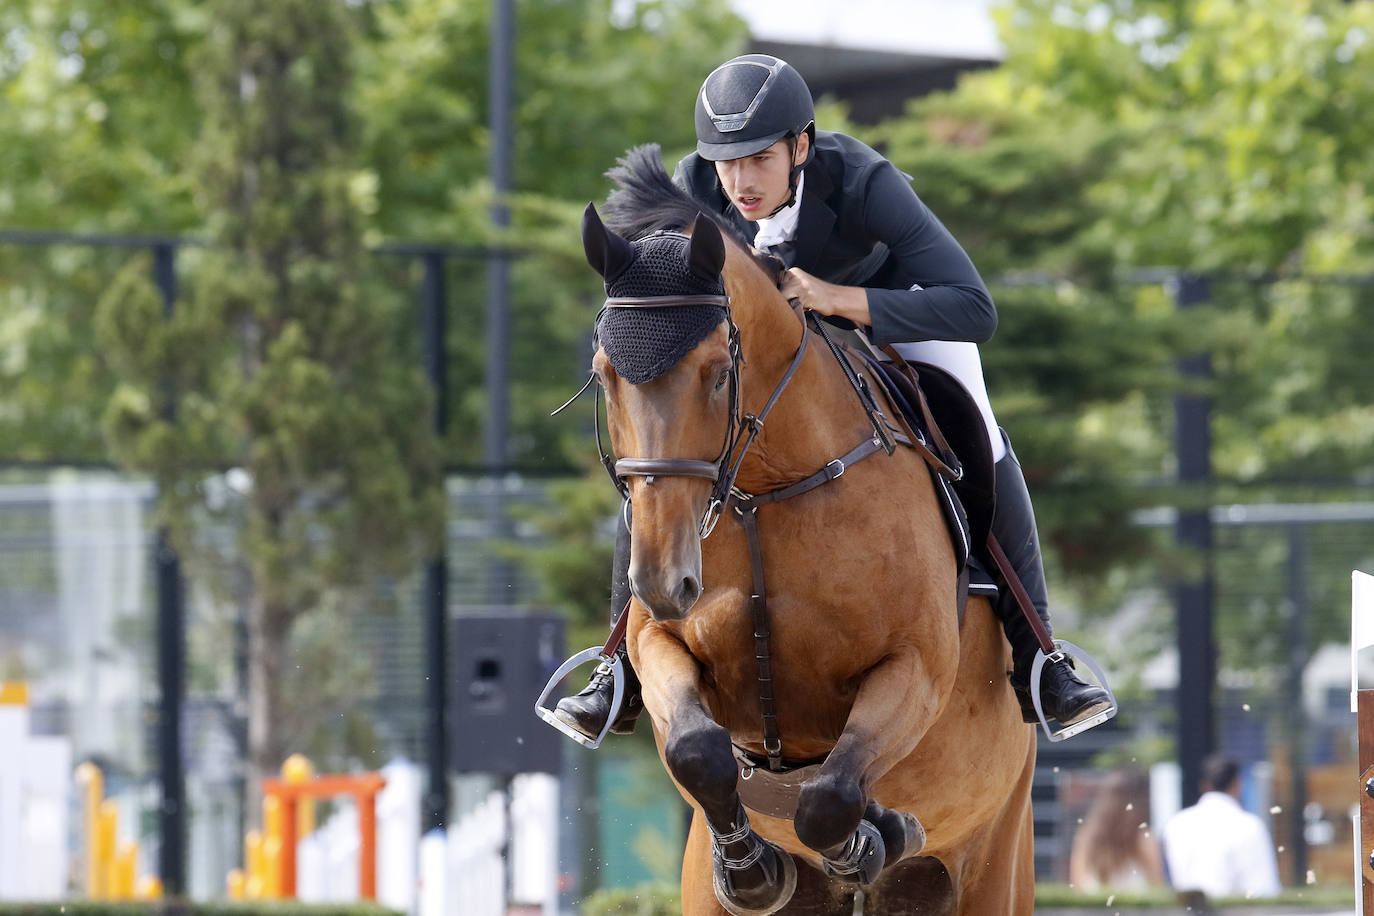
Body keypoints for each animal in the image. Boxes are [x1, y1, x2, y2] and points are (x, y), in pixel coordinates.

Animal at [579, 146, 1033, 911]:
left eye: (716, 372)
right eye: (604, 374)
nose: (667, 583)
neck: (764, 494)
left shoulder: (914, 669)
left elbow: (828, 798)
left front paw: (874, 837)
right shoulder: (658, 645)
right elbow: (697, 752)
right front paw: (754, 869)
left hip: (998, 856)